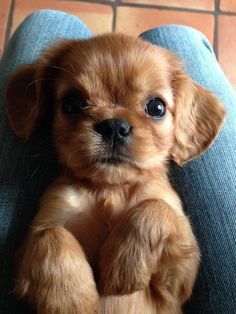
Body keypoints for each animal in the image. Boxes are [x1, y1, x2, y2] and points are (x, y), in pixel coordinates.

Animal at [5, 33, 226, 312]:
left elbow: (156, 209)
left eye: (156, 107)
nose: (113, 126)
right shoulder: (35, 238)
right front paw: (71, 299)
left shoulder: (178, 284)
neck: (111, 189)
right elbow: (49, 236)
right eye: (71, 104)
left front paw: (123, 266)